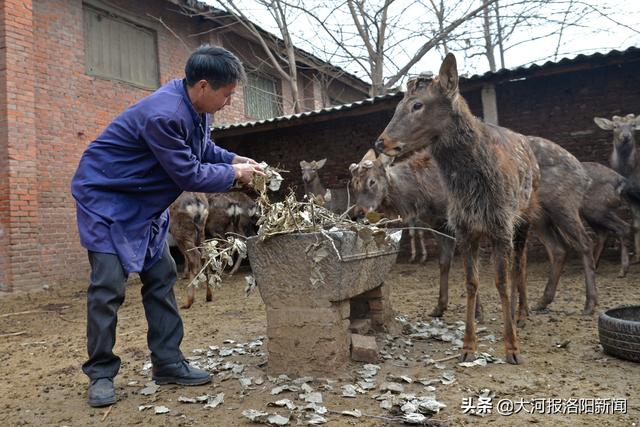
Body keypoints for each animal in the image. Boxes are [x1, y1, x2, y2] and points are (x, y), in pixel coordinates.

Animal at [376, 53, 540, 366]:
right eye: (398, 105)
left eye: (417, 104)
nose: (381, 142)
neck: (472, 186)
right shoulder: (464, 227)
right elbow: (471, 282)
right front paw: (468, 346)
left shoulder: (501, 223)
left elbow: (501, 282)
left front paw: (512, 348)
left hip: (527, 214)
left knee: (521, 263)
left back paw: (523, 314)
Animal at [592, 113, 640, 260]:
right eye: (615, 126)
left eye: (633, 125)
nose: (625, 136)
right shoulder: (629, 195)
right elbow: (636, 224)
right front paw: (637, 256)